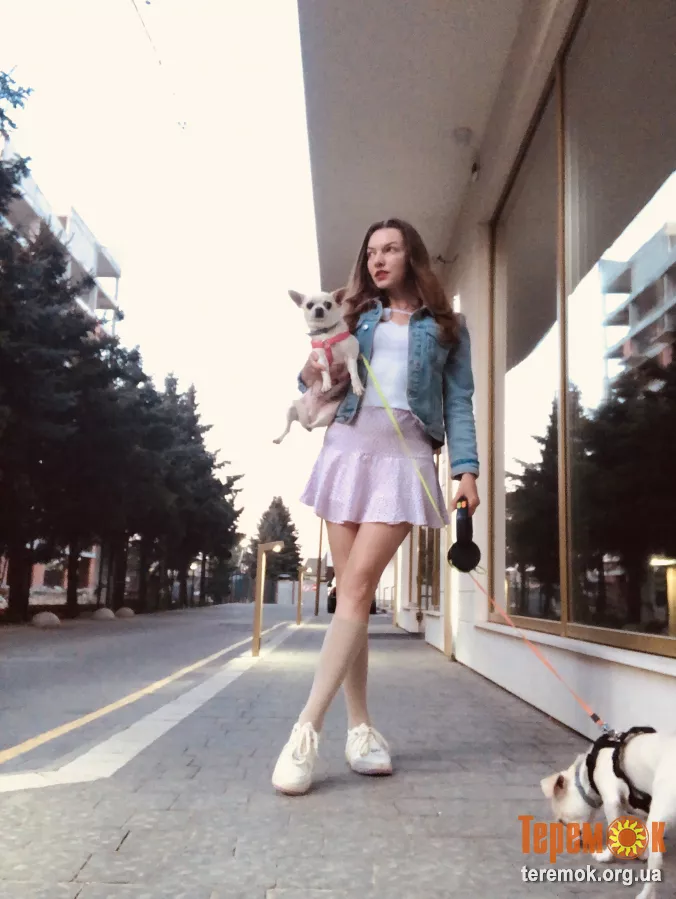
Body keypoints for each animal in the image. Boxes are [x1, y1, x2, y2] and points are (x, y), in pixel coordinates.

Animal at [273, 288, 363, 444]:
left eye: (328, 304)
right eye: (309, 305)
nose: (319, 309)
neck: (326, 334)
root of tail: (310, 416)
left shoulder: (350, 356)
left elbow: (353, 372)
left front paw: (356, 386)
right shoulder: (320, 358)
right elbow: (325, 370)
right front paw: (326, 383)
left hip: (327, 415)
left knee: (311, 426)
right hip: (291, 409)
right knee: (288, 428)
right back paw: (279, 438)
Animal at [540, 727, 676, 897]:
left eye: (562, 822)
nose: (577, 843)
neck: (588, 773)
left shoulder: (611, 801)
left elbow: (614, 834)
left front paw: (606, 856)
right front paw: (643, 852)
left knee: (656, 864)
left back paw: (645, 895)